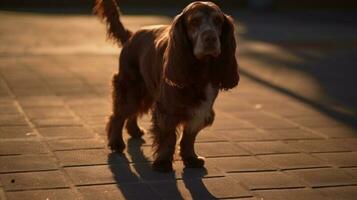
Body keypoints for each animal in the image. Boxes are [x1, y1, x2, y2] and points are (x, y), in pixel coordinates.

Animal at [94, 0, 239, 172]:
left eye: (218, 21)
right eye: (194, 22)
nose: (210, 38)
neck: (200, 69)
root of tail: (132, 35)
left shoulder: (201, 110)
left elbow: (189, 136)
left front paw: (191, 158)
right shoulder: (167, 110)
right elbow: (168, 137)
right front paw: (163, 162)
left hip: (146, 90)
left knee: (133, 111)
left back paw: (134, 130)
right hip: (130, 86)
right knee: (118, 114)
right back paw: (116, 142)